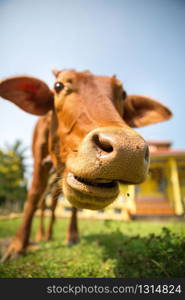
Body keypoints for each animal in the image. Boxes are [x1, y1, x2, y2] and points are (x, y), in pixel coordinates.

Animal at [0, 69, 172, 260]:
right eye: (58, 86)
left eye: (123, 94)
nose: (128, 151)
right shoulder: (39, 161)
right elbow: (33, 196)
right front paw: (17, 246)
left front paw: (73, 235)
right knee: (44, 203)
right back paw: (41, 234)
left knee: (53, 203)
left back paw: (50, 234)